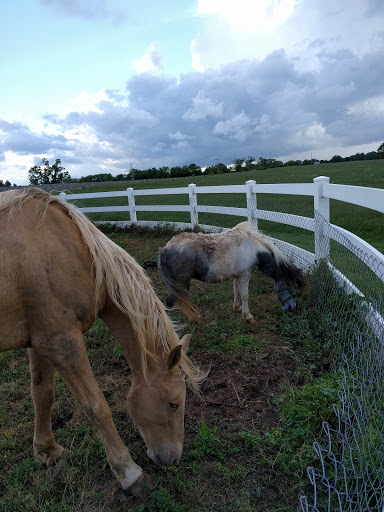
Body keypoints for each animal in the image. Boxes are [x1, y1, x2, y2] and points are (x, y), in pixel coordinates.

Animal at [159, 221, 306, 324]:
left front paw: (237, 308)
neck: (253, 249)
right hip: (180, 284)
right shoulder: (245, 275)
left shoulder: (237, 275)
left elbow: (237, 292)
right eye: (292, 291)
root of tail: (165, 249)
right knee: (170, 302)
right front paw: (247, 316)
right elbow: (245, 295)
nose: (292, 308)